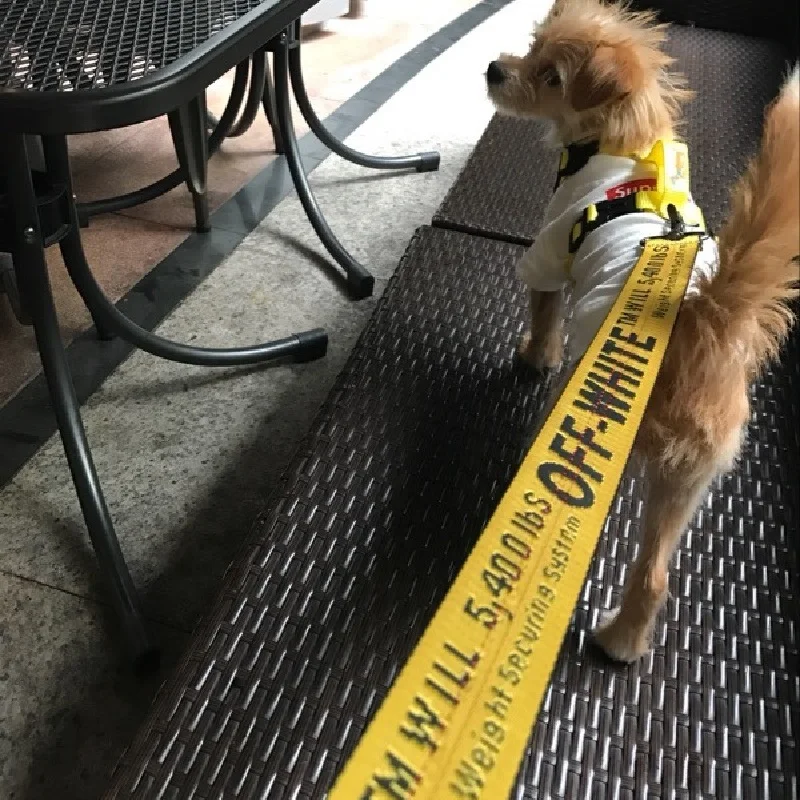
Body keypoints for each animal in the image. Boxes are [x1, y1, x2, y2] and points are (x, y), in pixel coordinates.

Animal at [485, 0, 800, 662]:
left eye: (551, 77)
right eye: (532, 45)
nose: (494, 70)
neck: (618, 139)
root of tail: (707, 325)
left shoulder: (549, 250)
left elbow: (543, 313)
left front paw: (533, 356)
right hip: (686, 481)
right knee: (654, 575)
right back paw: (622, 643)